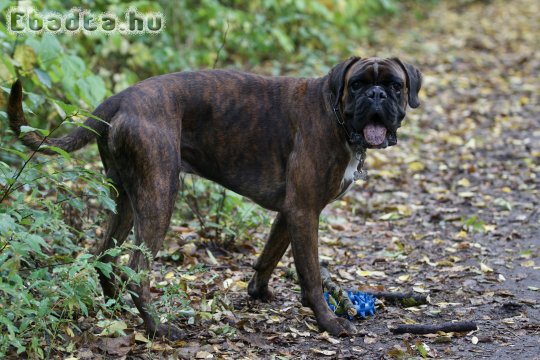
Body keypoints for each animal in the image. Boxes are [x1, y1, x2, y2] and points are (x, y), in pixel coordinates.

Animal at [7, 55, 422, 338]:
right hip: (160, 194)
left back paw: (115, 309)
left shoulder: (290, 212)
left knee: (104, 256)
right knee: (137, 268)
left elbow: (270, 255)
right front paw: (328, 321)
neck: (334, 111)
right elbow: (312, 273)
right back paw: (158, 328)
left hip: (125, 197)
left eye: (395, 85)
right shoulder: (304, 211)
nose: (376, 94)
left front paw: (259, 292)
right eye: (358, 85)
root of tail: (118, 99)